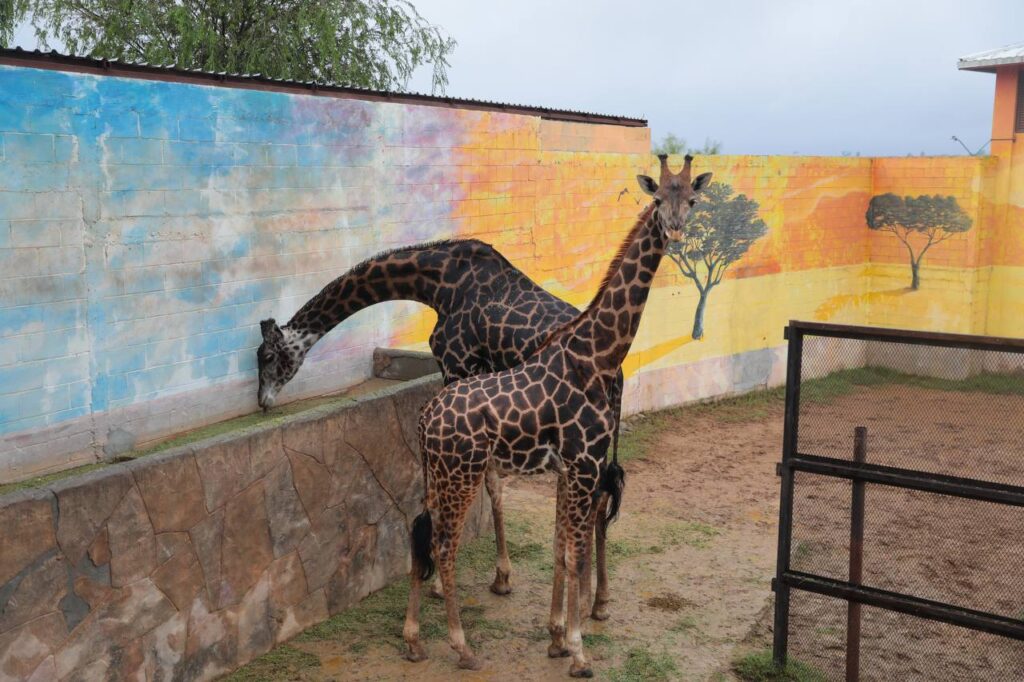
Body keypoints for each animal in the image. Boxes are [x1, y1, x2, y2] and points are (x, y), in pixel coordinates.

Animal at [254, 233, 622, 610]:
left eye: (266, 356)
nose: (263, 401)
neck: (436, 285)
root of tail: (618, 375)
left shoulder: (455, 364)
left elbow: (482, 482)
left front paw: (447, 585)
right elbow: (494, 482)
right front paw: (502, 577)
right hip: (596, 433)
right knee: (603, 492)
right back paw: (600, 600)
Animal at [401, 155, 712, 675]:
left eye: (691, 199)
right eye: (656, 198)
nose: (673, 229)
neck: (598, 355)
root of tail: (426, 420)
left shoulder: (571, 467)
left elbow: (562, 550)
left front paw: (557, 639)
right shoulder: (584, 464)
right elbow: (576, 553)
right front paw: (578, 651)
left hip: (437, 475)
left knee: (420, 532)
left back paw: (413, 640)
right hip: (462, 474)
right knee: (444, 545)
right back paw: (462, 647)